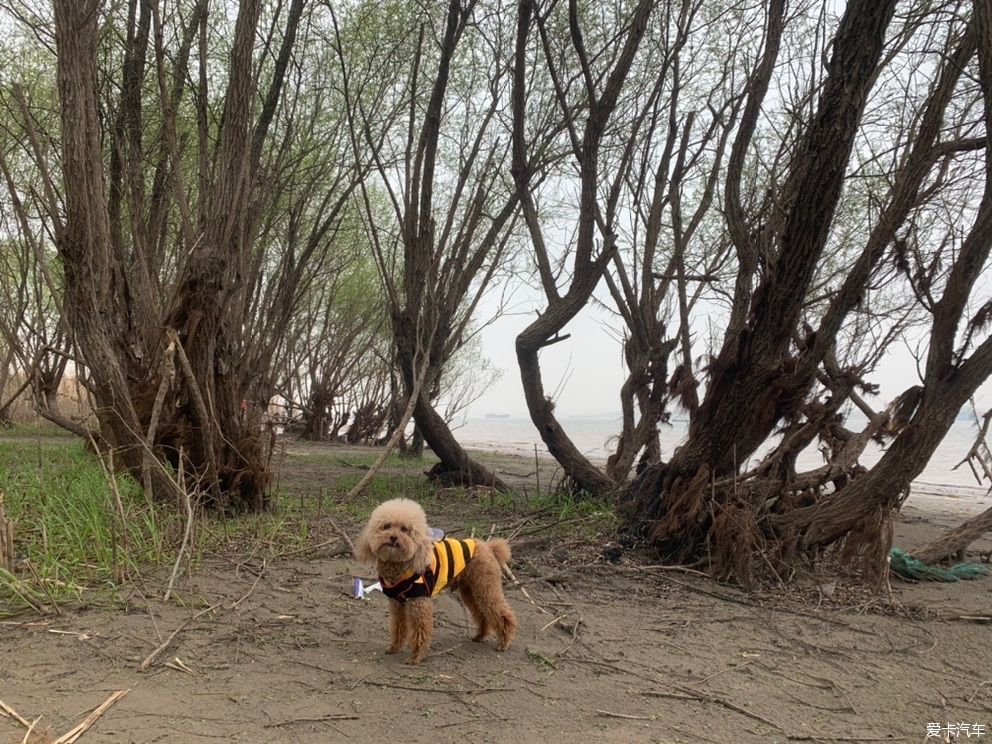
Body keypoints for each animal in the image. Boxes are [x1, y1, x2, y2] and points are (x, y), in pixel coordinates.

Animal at [352, 500, 520, 664]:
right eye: (386, 526)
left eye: (405, 529)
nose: (393, 537)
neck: (399, 564)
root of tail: (488, 546)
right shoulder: (397, 603)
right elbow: (398, 626)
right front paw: (394, 647)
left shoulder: (419, 602)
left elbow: (420, 630)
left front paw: (416, 657)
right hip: (470, 590)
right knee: (482, 614)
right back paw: (480, 635)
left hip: (485, 587)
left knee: (502, 614)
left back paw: (503, 642)